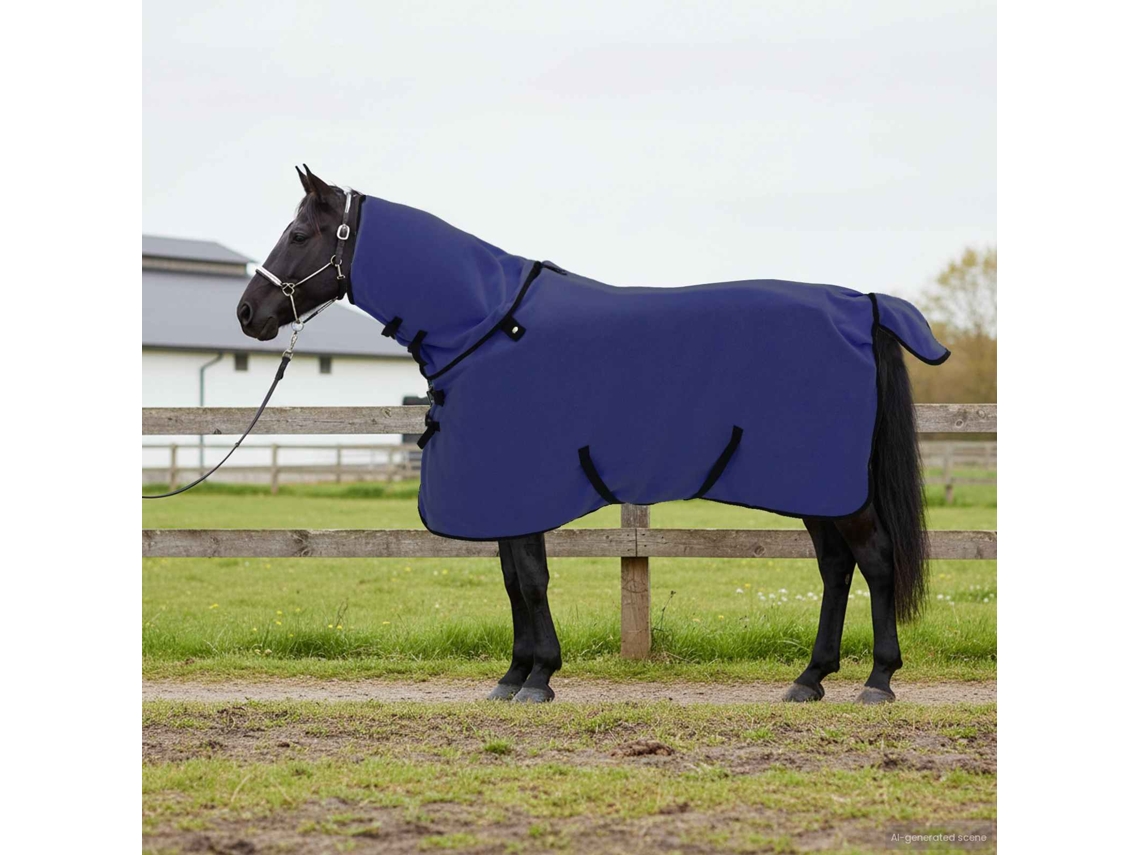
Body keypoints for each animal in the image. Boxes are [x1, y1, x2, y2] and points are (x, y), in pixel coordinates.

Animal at [237, 166, 948, 705]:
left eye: (298, 233)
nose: (248, 313)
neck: (488, 324)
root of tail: (862, 304)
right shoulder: (504, 494)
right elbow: (514, 580)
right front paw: (514, 676)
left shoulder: (520, 485)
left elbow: (529, 580)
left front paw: (539, 678)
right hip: (815, 488)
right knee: (836, 568)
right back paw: (810, 679)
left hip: (835, 489)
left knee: (875, 561)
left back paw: (878, 681)